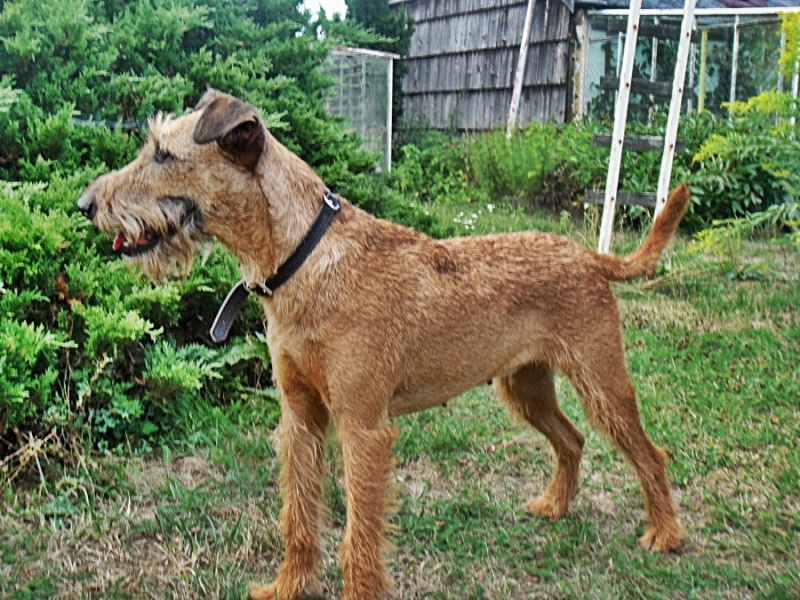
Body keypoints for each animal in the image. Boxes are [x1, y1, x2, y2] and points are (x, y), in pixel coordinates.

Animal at [78, 89, 688, 599]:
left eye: (163, 154)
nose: (85, 203)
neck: (304, 257)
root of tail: (590, 257)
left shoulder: (363, 427)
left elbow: (359, 537)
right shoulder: (301, 417)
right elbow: (299, 517)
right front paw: (288, 587)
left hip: (602, 381)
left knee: (649, 452)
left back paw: (665, 534)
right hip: (526, 386)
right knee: (572, 439)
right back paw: (555, 506)